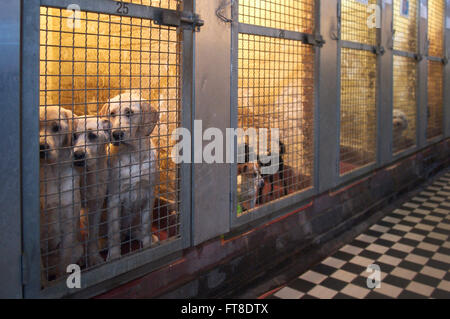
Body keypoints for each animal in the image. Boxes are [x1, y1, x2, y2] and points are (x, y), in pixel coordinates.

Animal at [39, 107, 84, 282]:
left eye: (56, 127)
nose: (42, 147)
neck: (55, 171)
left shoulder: (68, 224)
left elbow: (63, 261)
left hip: (78, 248)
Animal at [100, 91, 160, 262]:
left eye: (130, 113)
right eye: (112, 114)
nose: (116, 134)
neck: (134, 155)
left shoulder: (149, 193)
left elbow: (146, 223)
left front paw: (147, 245)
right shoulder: (114, 198)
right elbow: (114, 232)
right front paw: (114, 256)